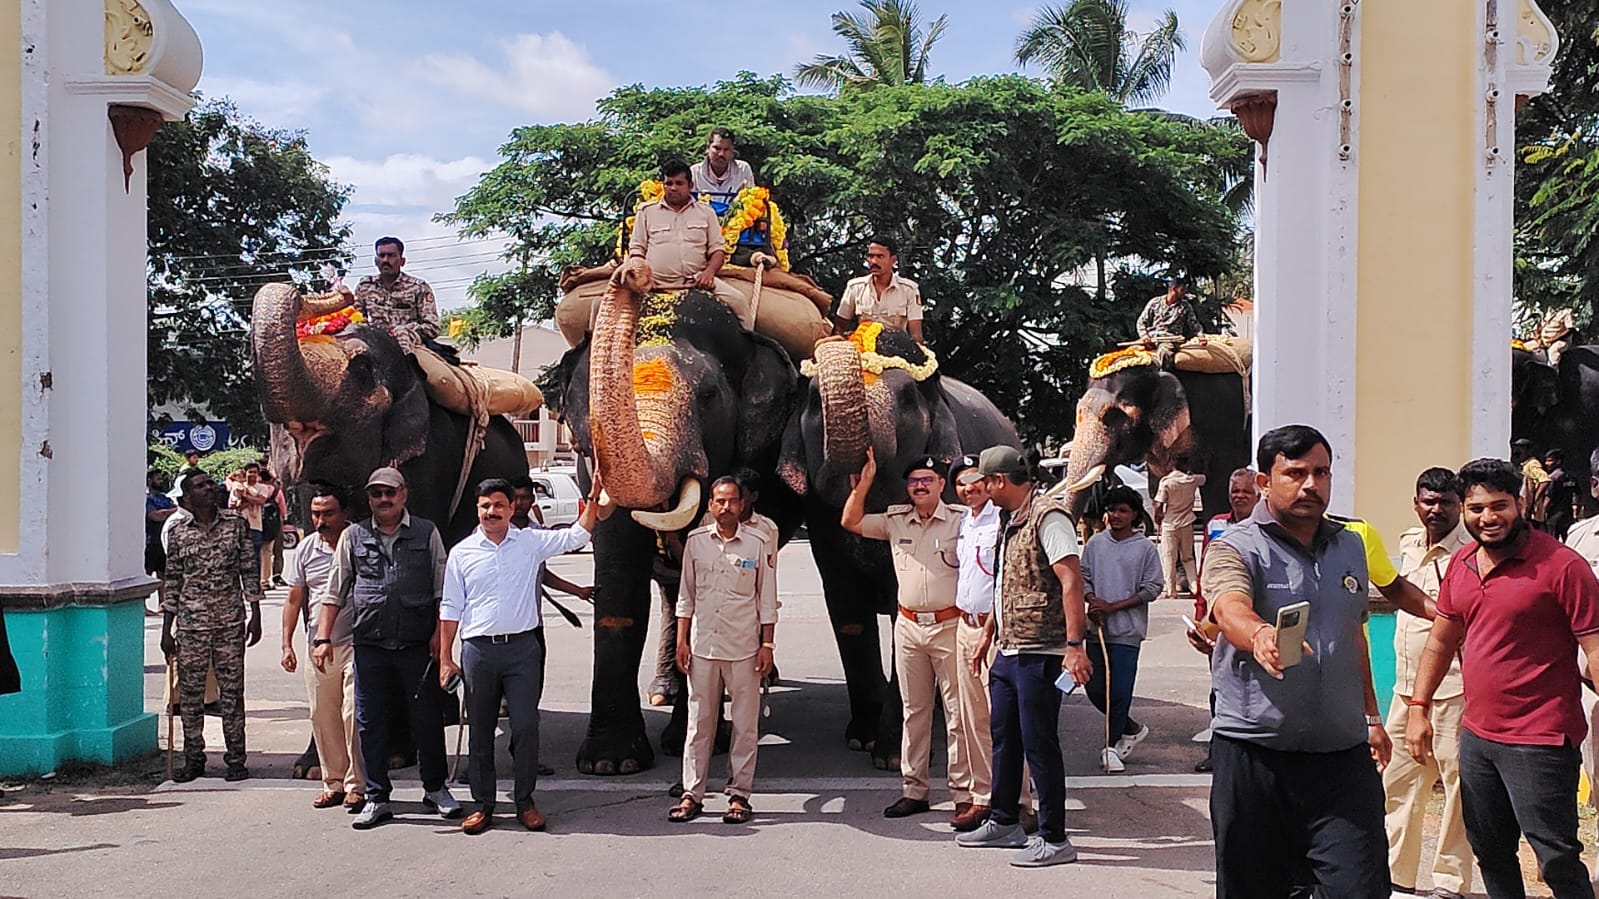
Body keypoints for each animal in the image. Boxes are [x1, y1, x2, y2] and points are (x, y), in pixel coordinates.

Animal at [556, 259, 799, 771]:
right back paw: (664, 691)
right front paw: (611, 763)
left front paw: (701, 741)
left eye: (708, 394)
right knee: (671, 590)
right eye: (587, 400)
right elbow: (621, 582)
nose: (634, 271)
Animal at [770, 329, 1016, 761]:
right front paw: (861, 738)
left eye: (906, 399)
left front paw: (889, 754)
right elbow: (846, 606)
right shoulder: (821, 522)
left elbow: (910, 607)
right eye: (813, 401)